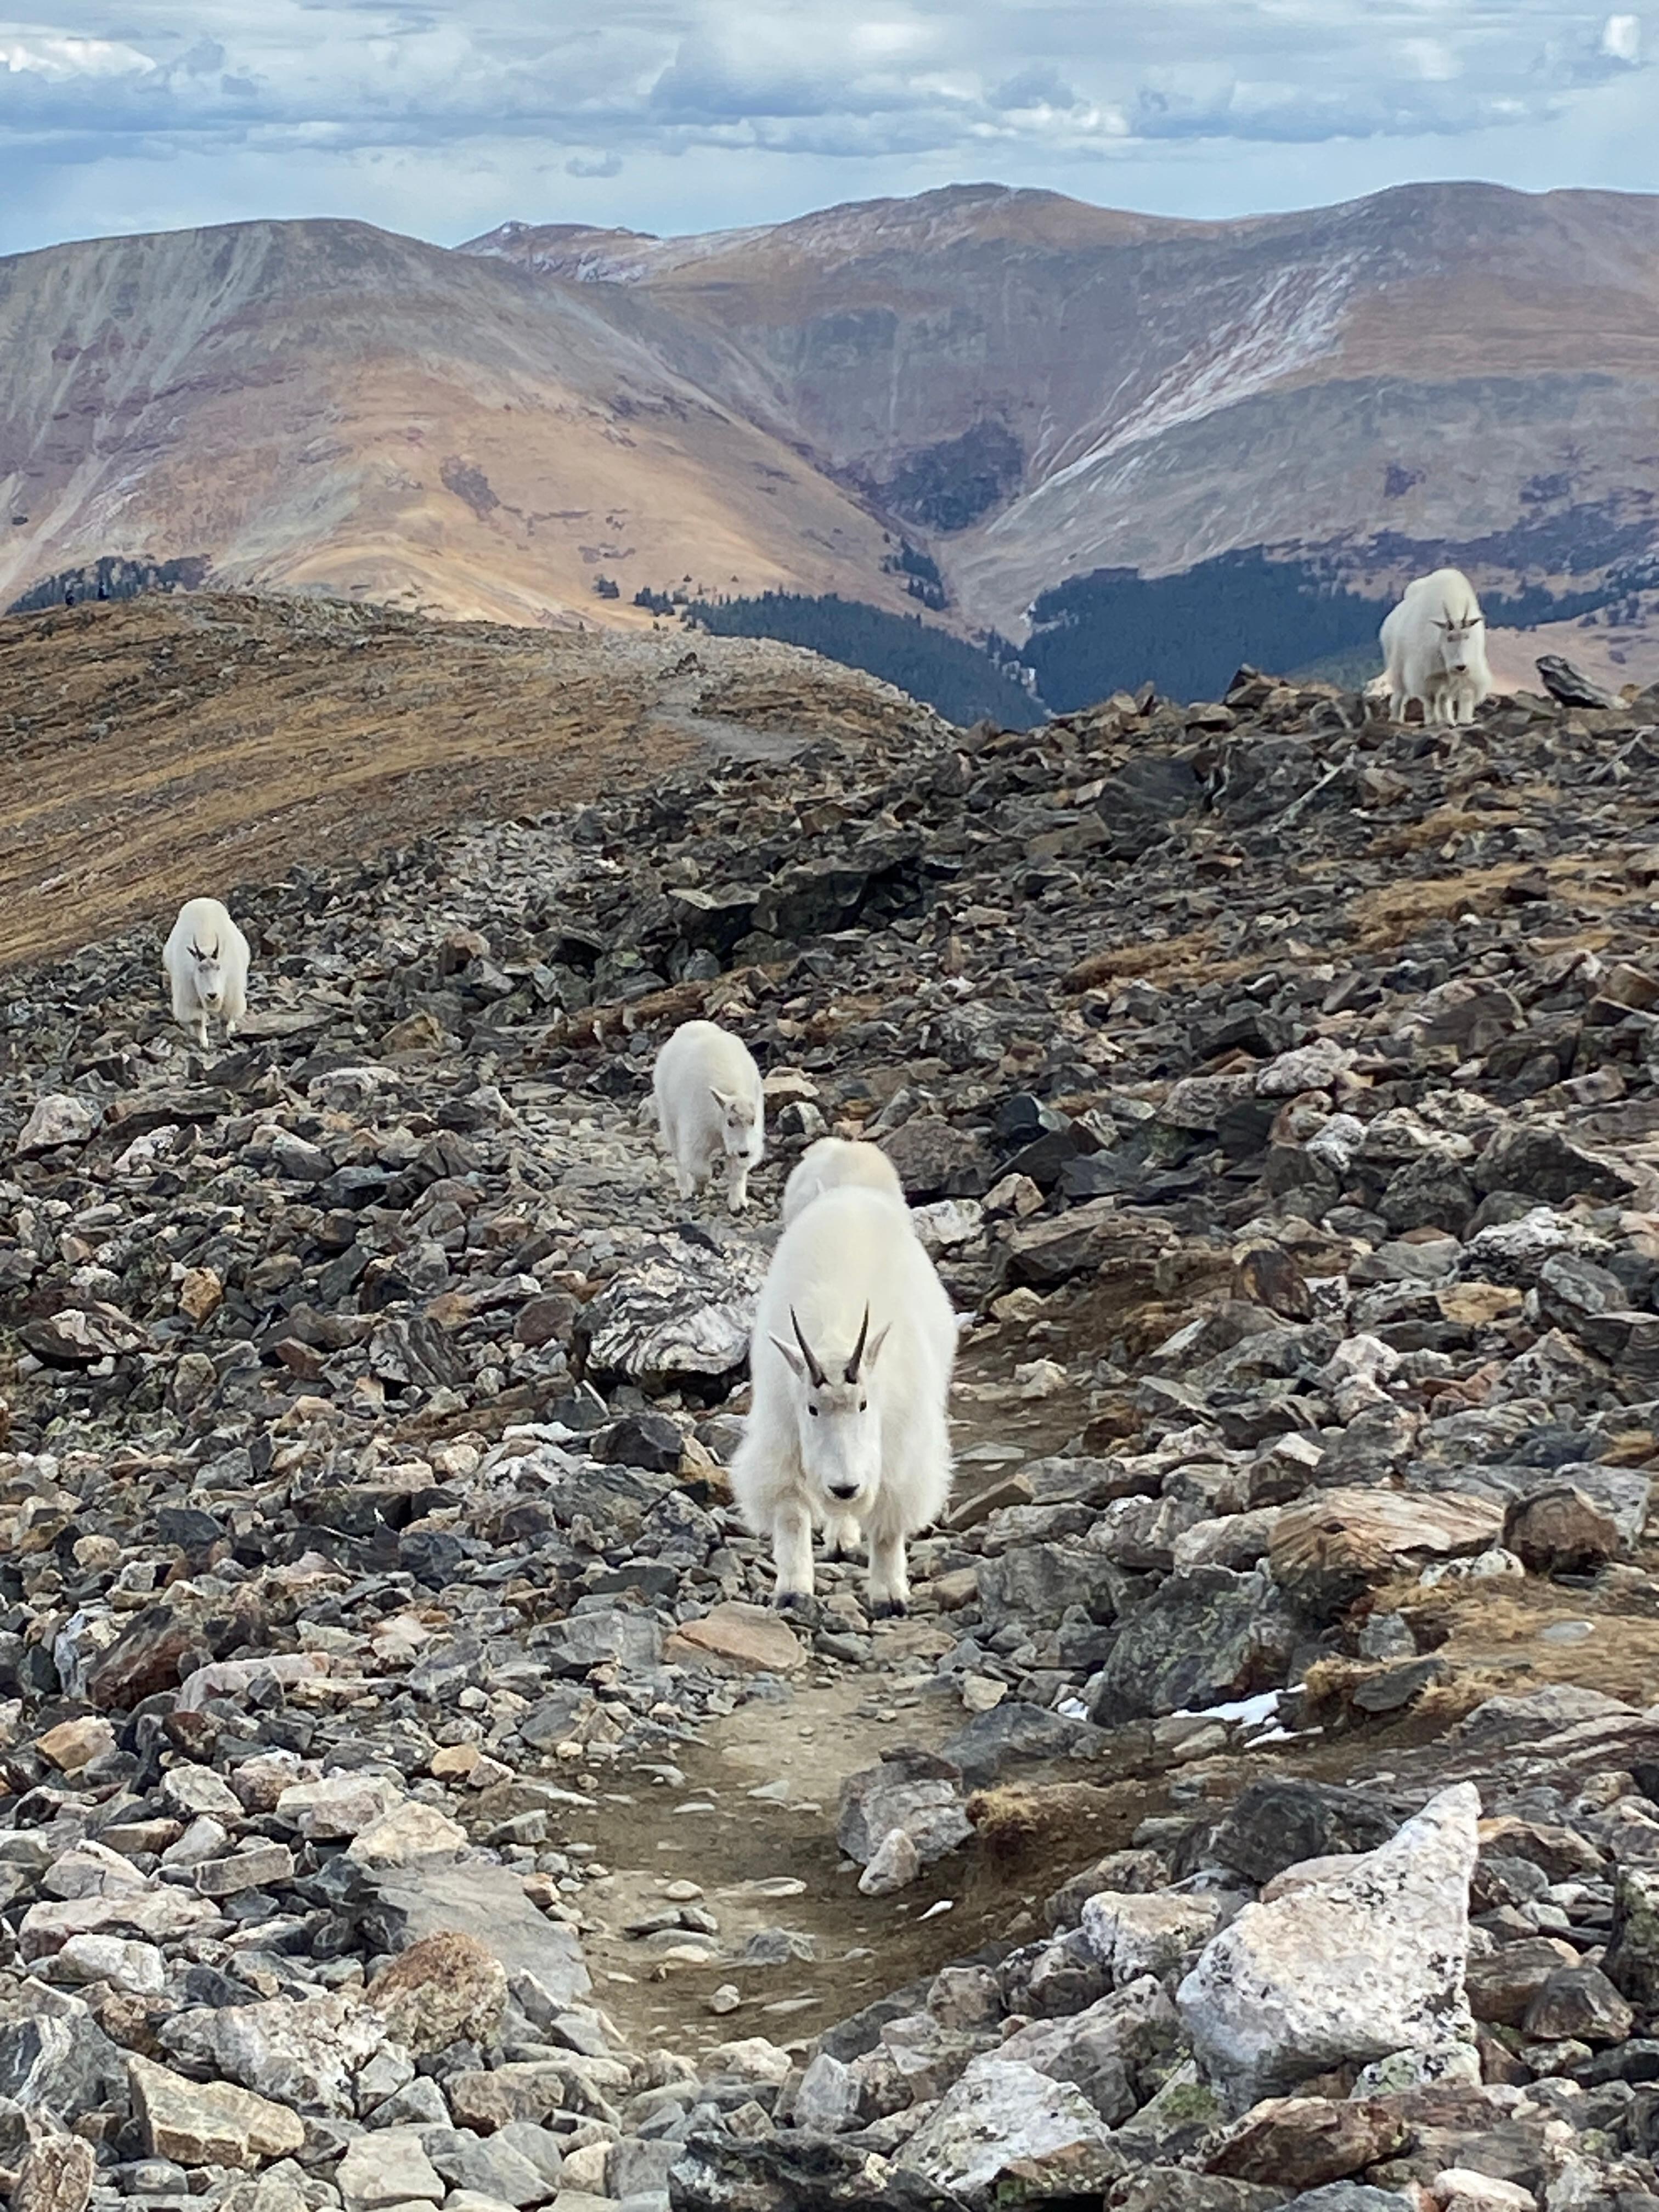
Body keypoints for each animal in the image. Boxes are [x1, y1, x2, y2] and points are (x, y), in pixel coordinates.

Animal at [162, 897, 250, 1051]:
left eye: (218, 968)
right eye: (200, 969)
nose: (212, 995)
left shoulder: (231, 993)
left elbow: (225, 1018)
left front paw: (224, 1038)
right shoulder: (189, 996)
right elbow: (198, 1021)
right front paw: (204, 1044)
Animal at [652, 1019, 765, 1214]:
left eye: (753, 1120)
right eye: (730, 1122)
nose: (743, 1152)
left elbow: (738, 1171)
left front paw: (738, 1204)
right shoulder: (698, 1132)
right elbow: (700, 1168)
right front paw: (697, 1189)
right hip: (668, 1114)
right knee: (677, 1155)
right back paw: (685, 1191)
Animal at [732, 1185, 955, 1618]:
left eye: (864, 1404)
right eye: (811, 1408)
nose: (845, 1488)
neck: (838, 1335)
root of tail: (850, 1192)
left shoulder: (901, 1451)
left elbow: (888, 1526)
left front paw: (890, 1595)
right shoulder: (781, 1438)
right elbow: (791, 1515)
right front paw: (793, 1592)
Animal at [1380, 567, 1492, 728]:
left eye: (1467, 636)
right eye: (1449, 638)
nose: (1460, 666)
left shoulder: (1471, 669)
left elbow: (1464, 694)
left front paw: (1464, 720)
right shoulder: (1426, 673)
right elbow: (1431, 698)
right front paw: (1432, 721)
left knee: (1444, 698)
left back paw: (1448, 720)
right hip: (1397, 664)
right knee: (1400, 692)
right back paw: (1395, 719)